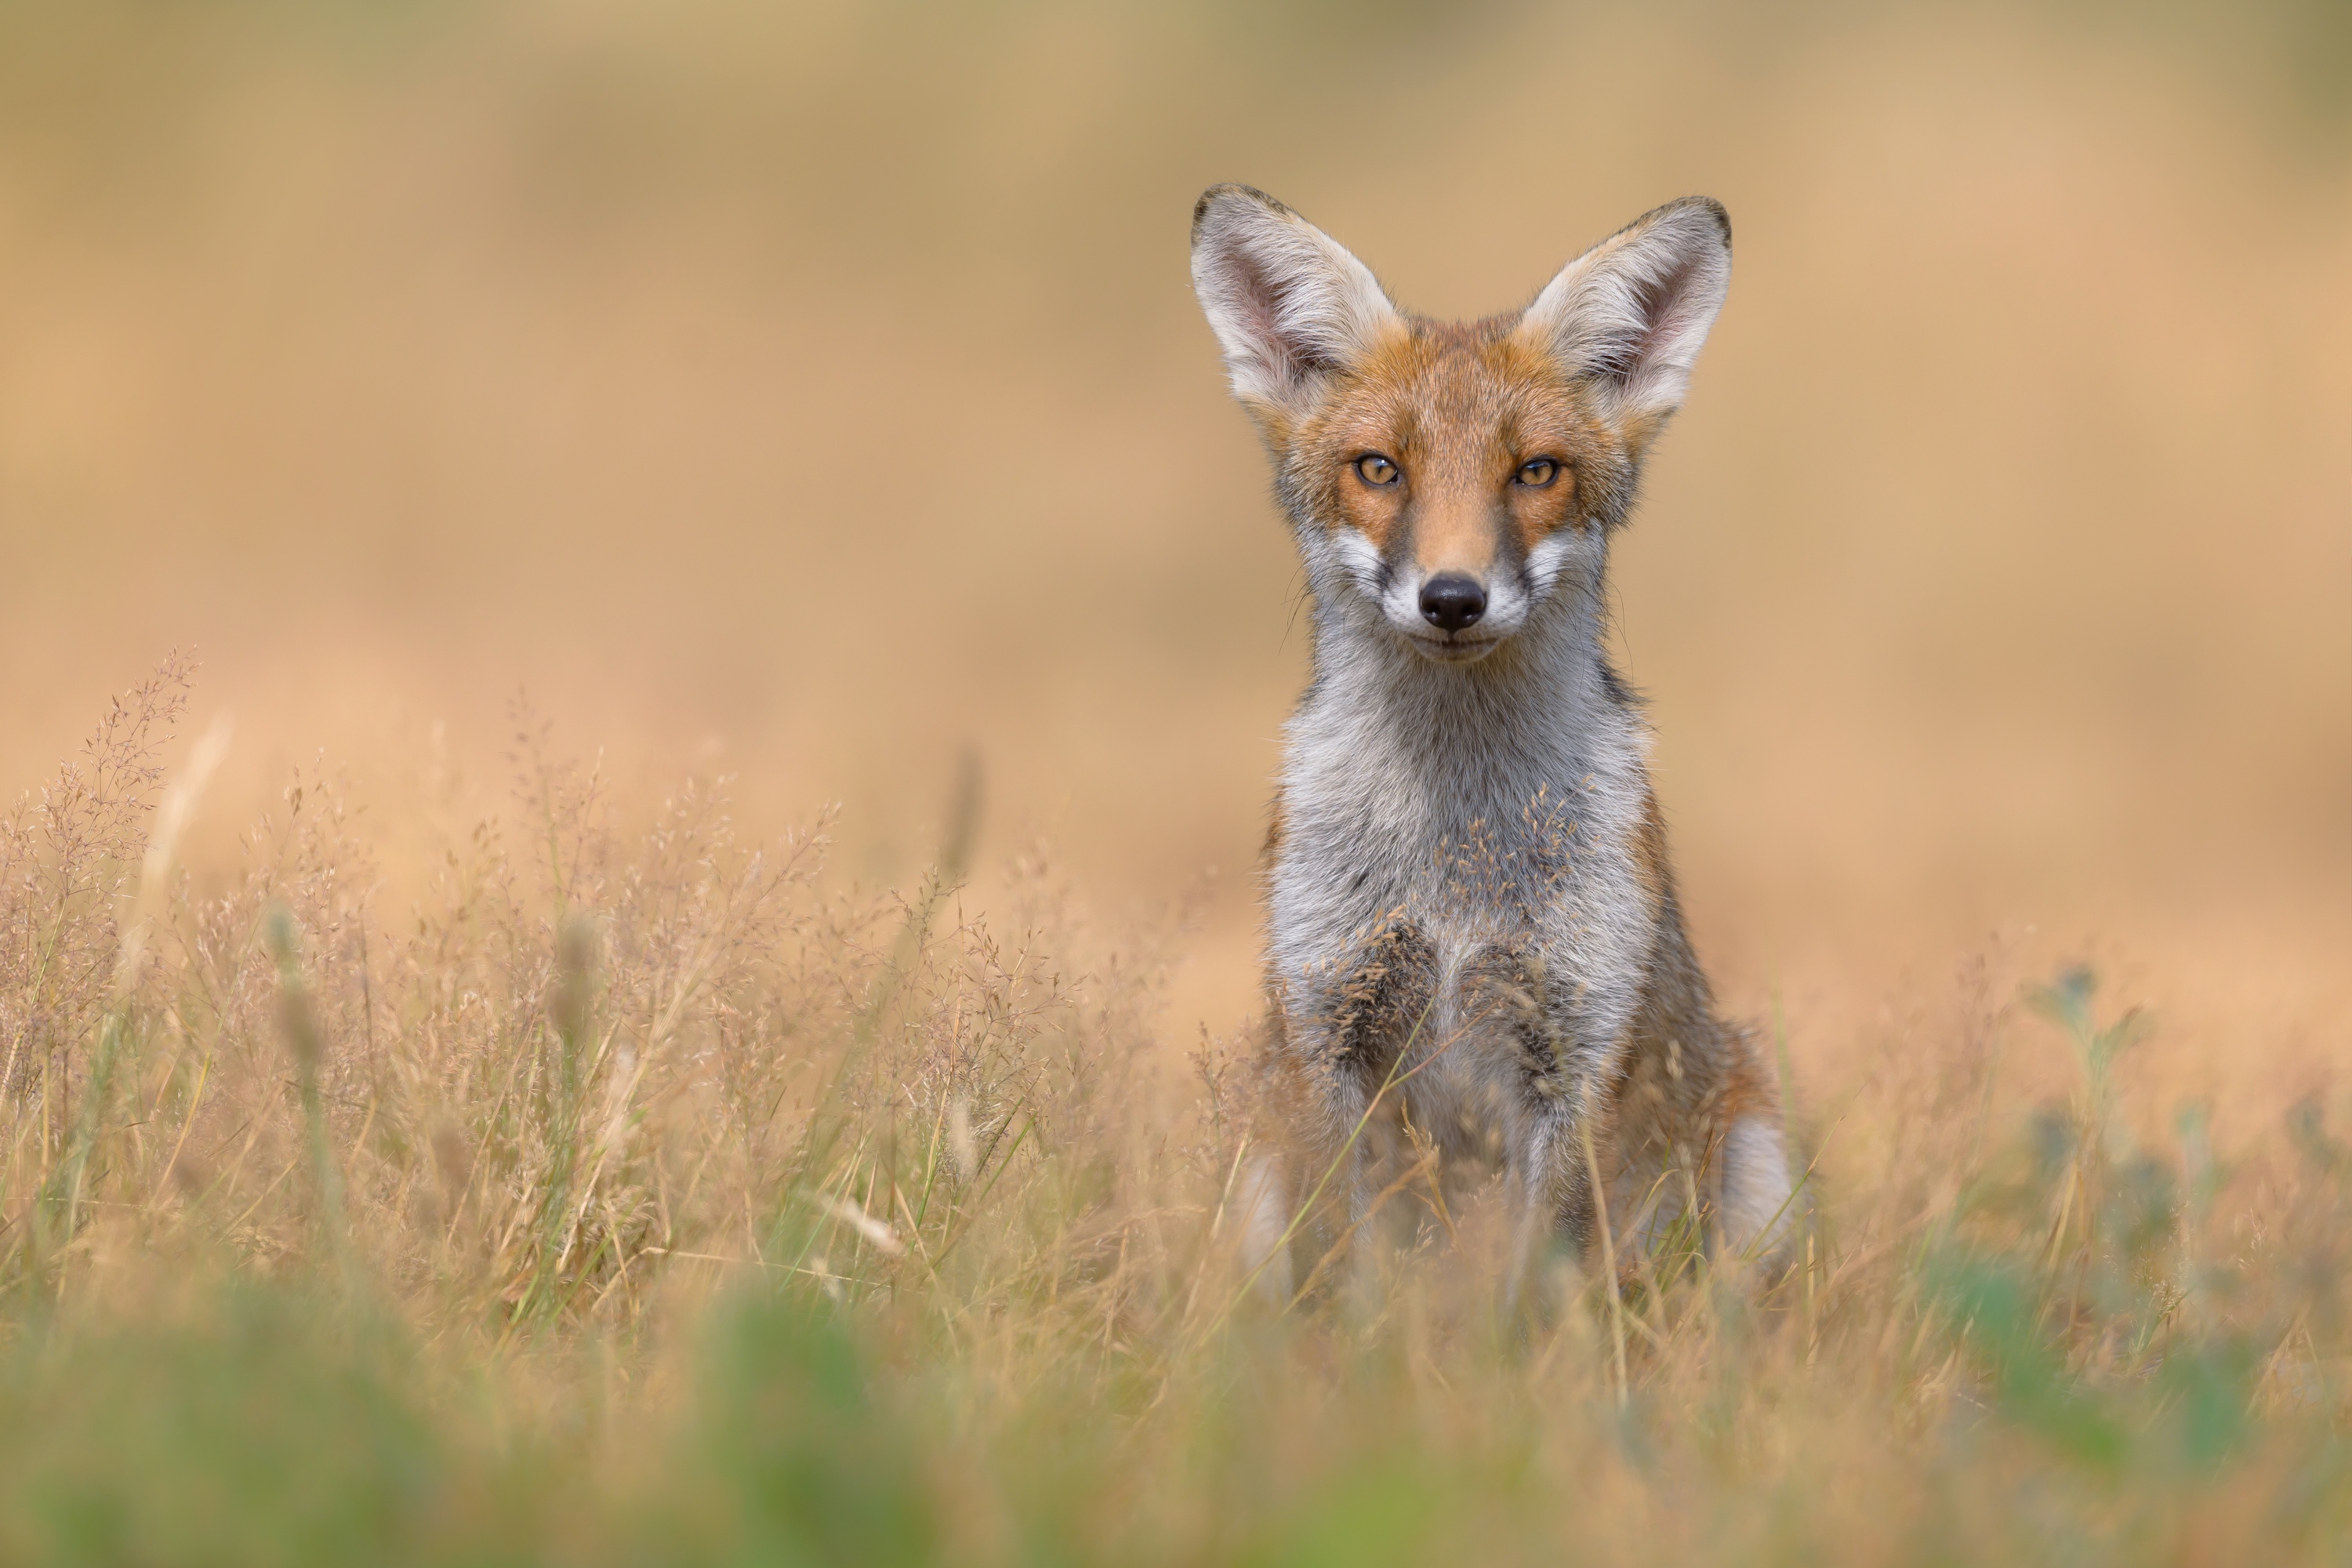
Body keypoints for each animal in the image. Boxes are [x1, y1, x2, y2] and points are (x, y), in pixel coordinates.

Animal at [1195, 187, 1797, 1316]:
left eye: (1536, 472)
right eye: (1380, 469)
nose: (1452, 597)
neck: (1455, 864)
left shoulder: (1579, 1039)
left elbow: (1535, 1278)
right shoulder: (1326, 1024)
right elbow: (1343, 1265)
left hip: (1756, 1152)